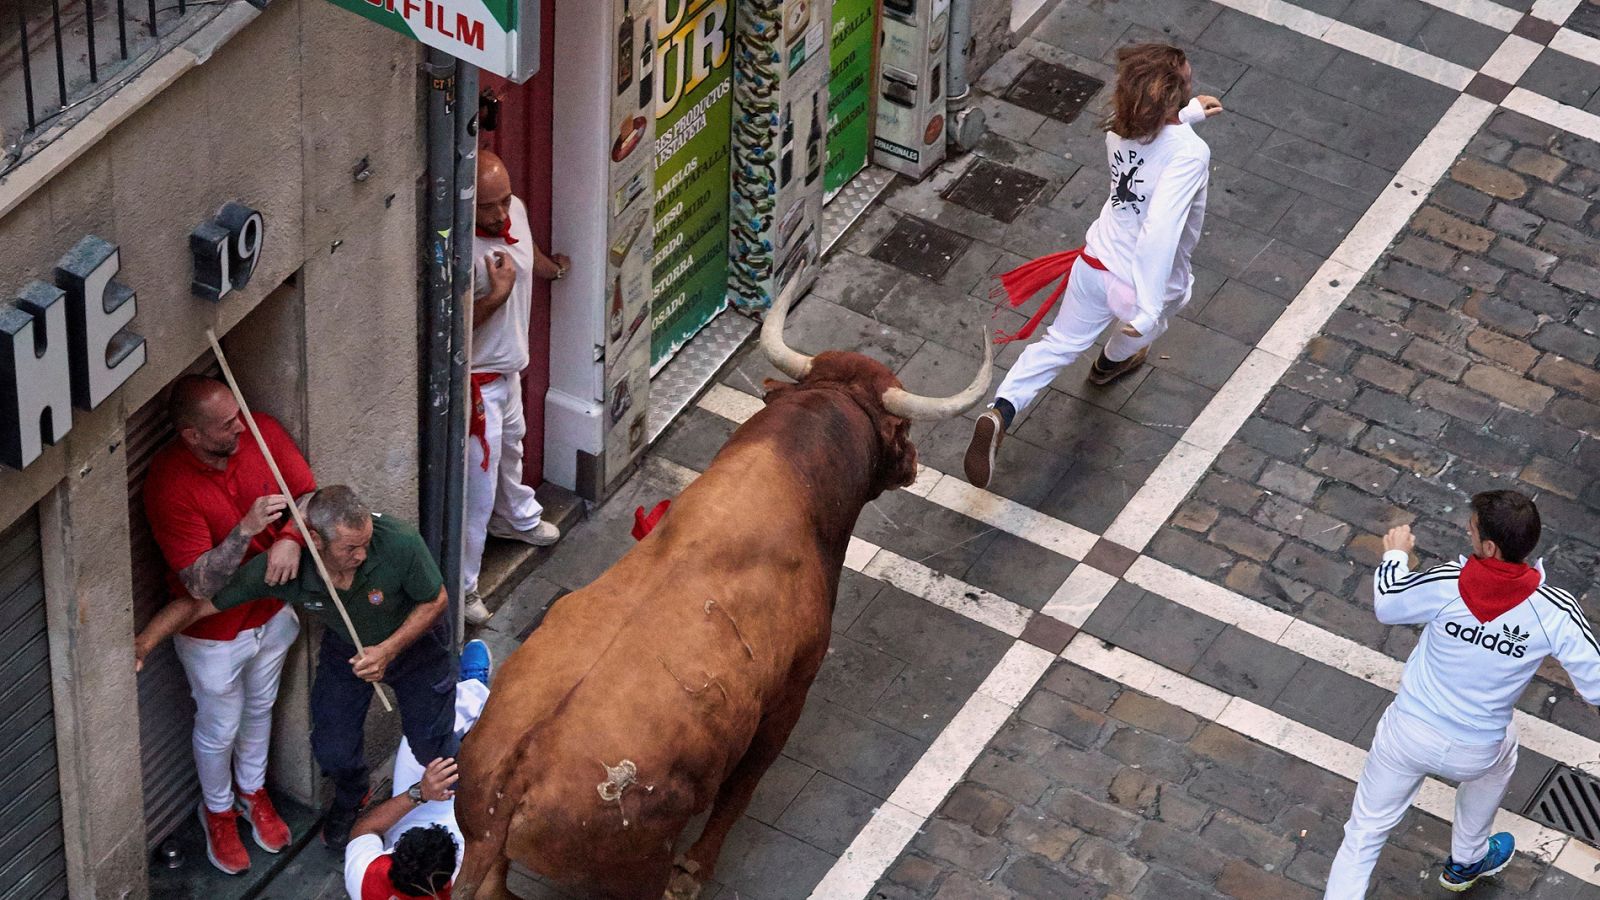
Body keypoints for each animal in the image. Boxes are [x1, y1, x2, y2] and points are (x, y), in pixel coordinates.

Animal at [451, 286, 992, 896]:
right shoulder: (789, 695)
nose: (914, 464)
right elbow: (741, 790)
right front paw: (697, 869)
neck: (792, 473)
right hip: (636, 871)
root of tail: (518, 772)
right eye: (900, 431)